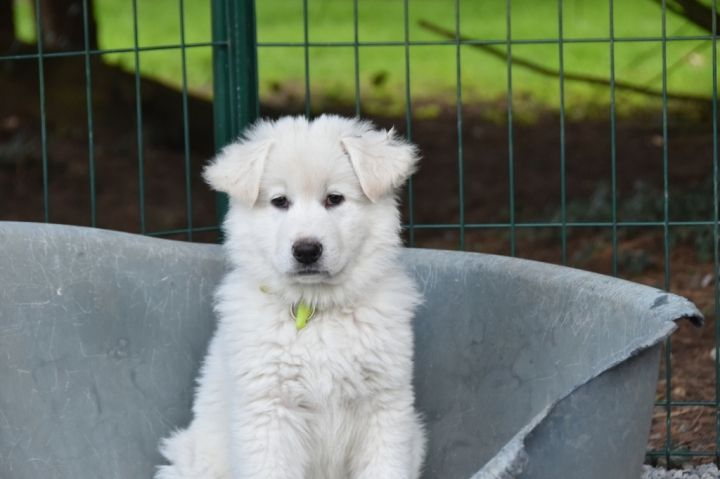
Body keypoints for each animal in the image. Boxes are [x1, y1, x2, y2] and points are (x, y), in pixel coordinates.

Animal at [155, 115, 426, 479]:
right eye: (280, 202)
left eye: (334, 199)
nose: (307, 250)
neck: (315, 309)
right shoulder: (269, 413)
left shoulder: (384, 405)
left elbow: (385, 468)